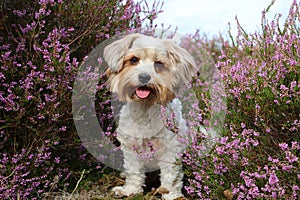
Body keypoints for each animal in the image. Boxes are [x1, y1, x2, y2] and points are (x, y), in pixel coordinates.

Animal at [103, 33, 197, 199]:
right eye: (134, 59)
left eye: (158, 63)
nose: (144, 77)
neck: (145, 108)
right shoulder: (131, 148)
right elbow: (134, 171)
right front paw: (130, 190)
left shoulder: (171, 149)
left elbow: (170, 176)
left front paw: (170, 194)